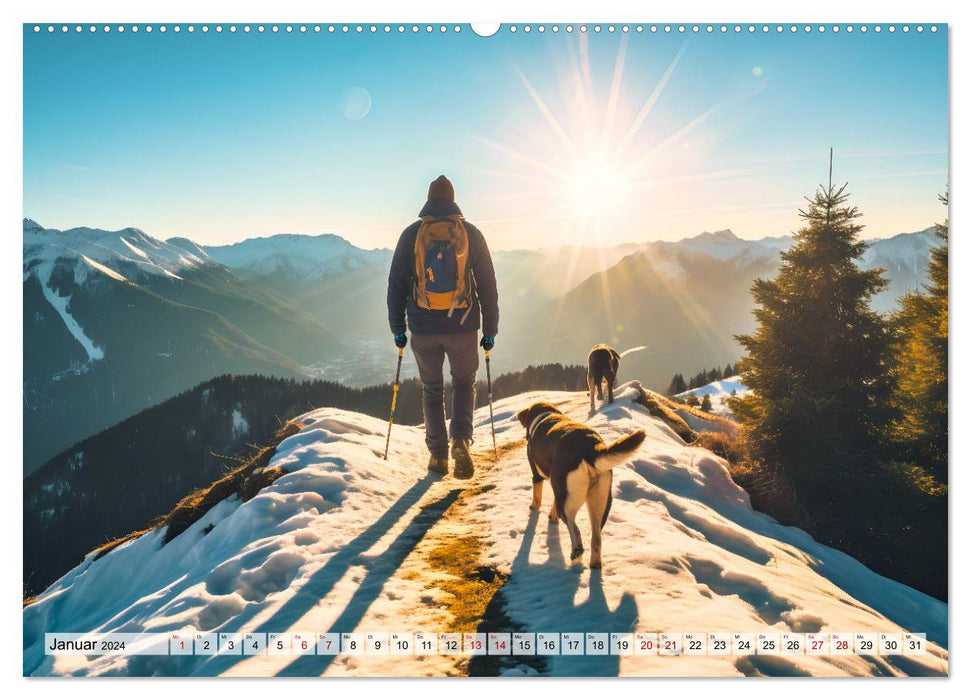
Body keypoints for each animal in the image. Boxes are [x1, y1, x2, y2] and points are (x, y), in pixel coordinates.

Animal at [516, 400, 644, 568]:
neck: (543, 416)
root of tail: (591, 448)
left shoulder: (538, 477)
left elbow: (537, 499)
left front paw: (534, 509)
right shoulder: (558, 485)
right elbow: (554, 502)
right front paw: (552, 515)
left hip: (570, 499)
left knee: (574, 528)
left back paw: (576, 551)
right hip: (600, 501)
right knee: (596, 539)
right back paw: (594, 565)